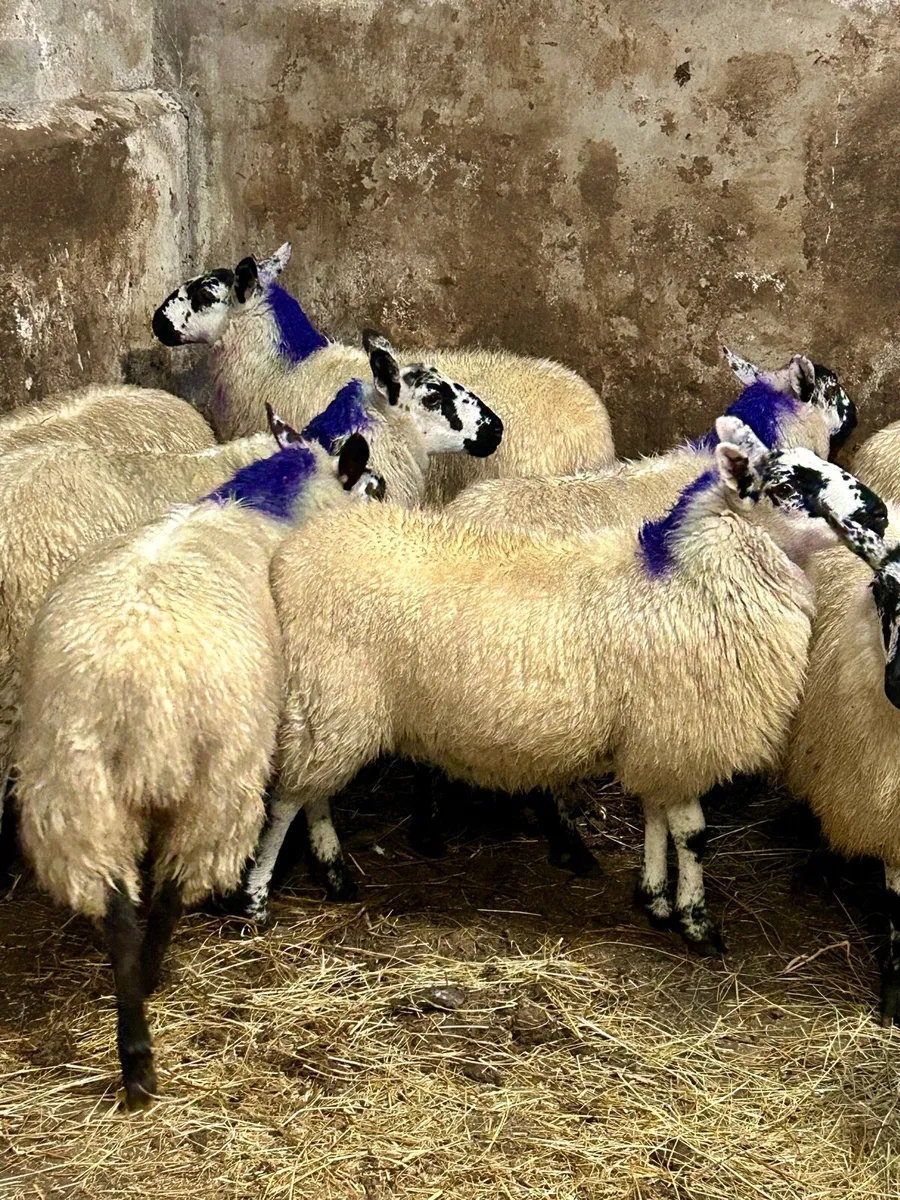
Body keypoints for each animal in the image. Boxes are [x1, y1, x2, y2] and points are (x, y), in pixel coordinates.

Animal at [14, 414, 383, 1110]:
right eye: (371, 486)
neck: (264, 510)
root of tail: (134, 687)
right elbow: (310, 790)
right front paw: (329, 863)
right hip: (218, 778)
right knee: (167, 894)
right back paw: (148, 1015)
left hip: (75, 784)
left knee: (117, 909)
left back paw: (134, 1045)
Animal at [232, 417, 886, 949]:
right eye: (788, 488)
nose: (879, 514)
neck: (695, 581)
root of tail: (296, 551)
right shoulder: (680, 731)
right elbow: (694, 835)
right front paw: (697, 923)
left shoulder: (656, 737)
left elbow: (655, 816)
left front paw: (654, 899)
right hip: (334, 697)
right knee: (288, 799)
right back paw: (257, 900)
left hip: (331, 704)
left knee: (314, 792)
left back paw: (334, 872)